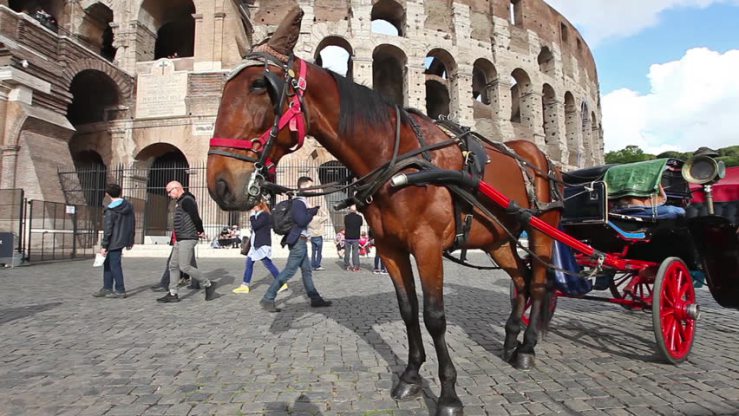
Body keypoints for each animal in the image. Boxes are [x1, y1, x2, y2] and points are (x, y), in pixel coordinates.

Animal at [207, 6, 560, 416]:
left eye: (260, 87)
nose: (219, 182)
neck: (399, 159)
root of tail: (541, 158)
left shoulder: (426, 246)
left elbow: (434, 316)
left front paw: (448, 394)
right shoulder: (390, 248)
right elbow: (408, 309)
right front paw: (410, 376)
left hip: (541, 229)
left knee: (539, 281)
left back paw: (527, 347)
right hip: (498, 238)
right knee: (520, 278)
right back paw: (510, 340)